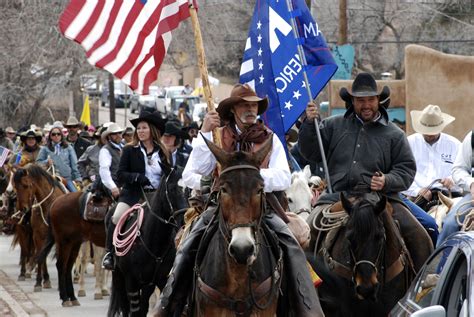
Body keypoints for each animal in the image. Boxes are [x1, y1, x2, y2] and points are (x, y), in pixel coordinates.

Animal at [107, 163, 187, 316]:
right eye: (172, 189)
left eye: (191, 188)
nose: (185, 220)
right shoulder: (131, 282)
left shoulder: (163, 281)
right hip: (119, 276)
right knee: (125, 306)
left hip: (147, 284)